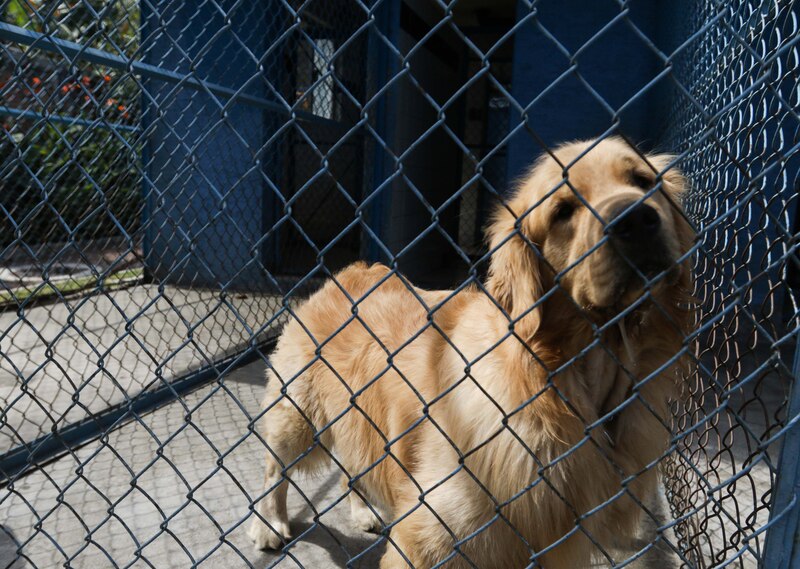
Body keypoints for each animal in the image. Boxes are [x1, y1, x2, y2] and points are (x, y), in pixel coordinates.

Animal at [248, 139, 692, 568]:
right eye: (562, 210)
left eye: (643, 180)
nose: (636, 219)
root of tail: (348, 270)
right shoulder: (430, 537)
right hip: (297, 416)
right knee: (274, 468)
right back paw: (269, 524)